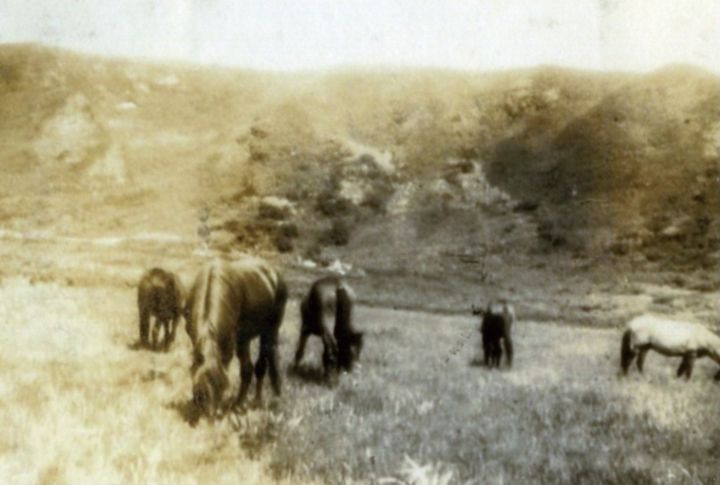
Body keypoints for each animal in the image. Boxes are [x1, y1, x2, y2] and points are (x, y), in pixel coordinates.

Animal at [185, 256, 287, 418]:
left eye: (222, 387)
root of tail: (274, 274)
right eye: (200, 394)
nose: (210, 417)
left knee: (261, 365)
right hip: (245, 338)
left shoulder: (231, 344)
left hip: (269, 331)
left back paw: (253, 402)